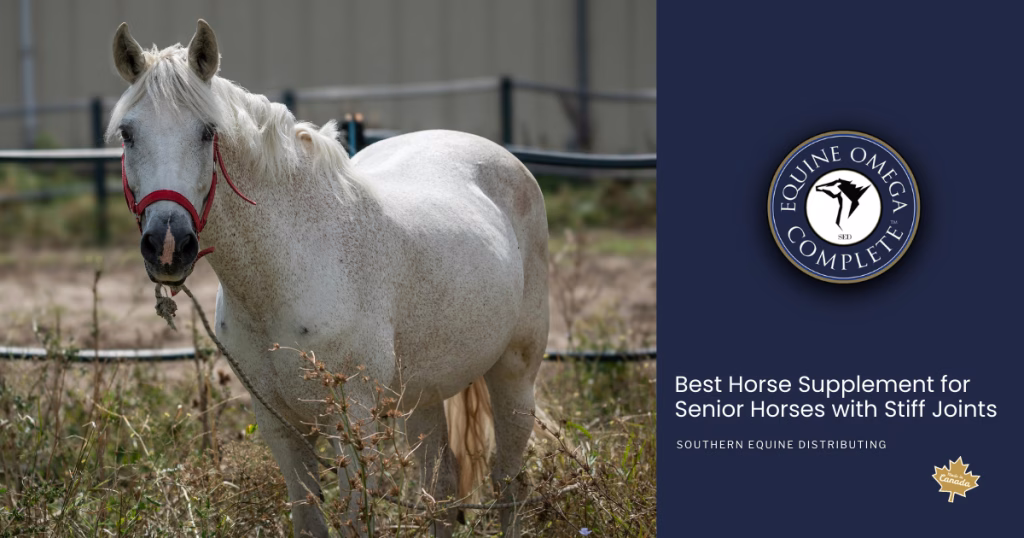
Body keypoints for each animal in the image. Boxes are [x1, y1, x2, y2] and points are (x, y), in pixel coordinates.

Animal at [109, 20, 549, 537]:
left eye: (206, 132)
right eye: (128, 134)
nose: (168, 244)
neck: (289, 270)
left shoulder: (354, 425)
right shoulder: (282, 427)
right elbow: (309, 518)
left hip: (514, 376)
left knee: (508, 484)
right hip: (422, 396)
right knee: (439, 487)